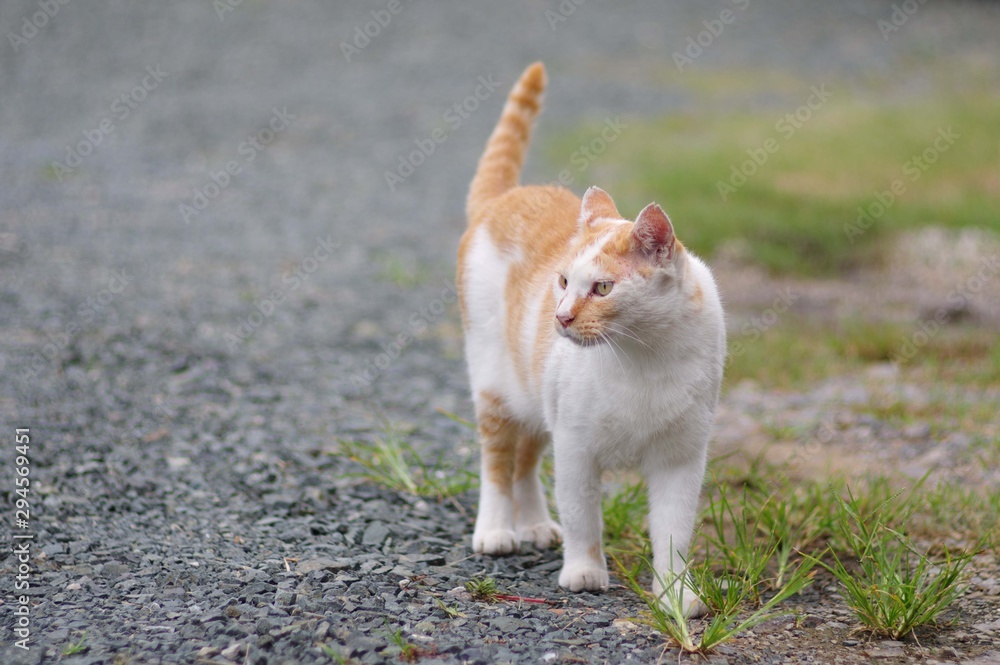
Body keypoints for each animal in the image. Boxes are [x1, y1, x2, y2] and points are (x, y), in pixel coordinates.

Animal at [456, 63, 728, 616]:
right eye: (562, 281)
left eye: (601, 288)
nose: (560, 316)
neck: (645, 356)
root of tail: (507, 196)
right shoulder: (577, 447)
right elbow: (583, 514)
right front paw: (584, 571)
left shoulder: (681, 459)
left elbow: (673, 532)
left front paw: (675, 593)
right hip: (497, 388)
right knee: (498, 460)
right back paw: (497, 530)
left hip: (537, 399)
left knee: (525, 460)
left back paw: (535, 523)